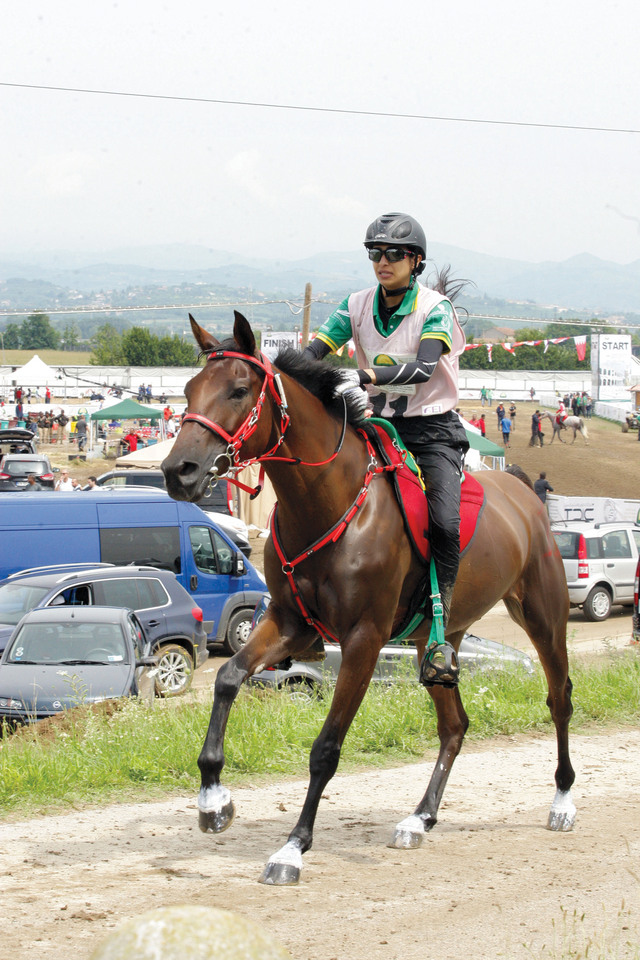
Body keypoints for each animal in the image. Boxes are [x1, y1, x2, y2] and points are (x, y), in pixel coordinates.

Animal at [162, 314, 576, 884]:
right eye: (187, 390)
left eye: (238, 391)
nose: (178, 471)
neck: (328, 499)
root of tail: (523, 492)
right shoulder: (290, 622)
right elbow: (226, 678)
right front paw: (213, 799)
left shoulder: (363, 639)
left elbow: (325, 748)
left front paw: (293, 846)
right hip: (436, 641)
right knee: (454, 725)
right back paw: (421, 817)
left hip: (543, 617)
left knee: (559, 699)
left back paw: (562, 800)